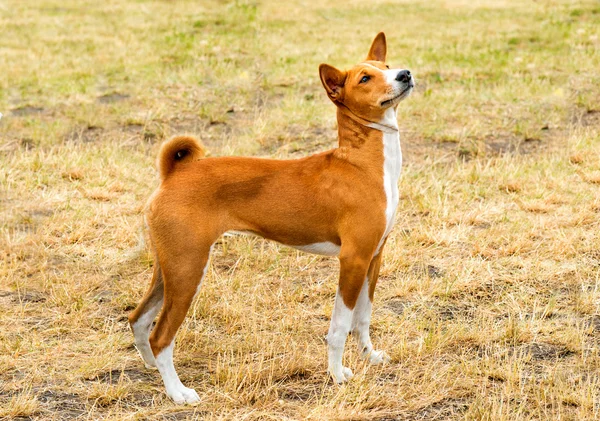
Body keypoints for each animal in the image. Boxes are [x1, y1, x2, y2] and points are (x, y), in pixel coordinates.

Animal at [129, 31, 412, 402]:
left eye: (387, 66)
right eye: (365, 78)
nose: (405, 74)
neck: (362, 165)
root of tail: (174, 173)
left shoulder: (373, 257)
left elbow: (362, 319)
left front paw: (370, 356)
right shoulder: (353, 260)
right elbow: (339, 327)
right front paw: (337, 375)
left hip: (170, 267)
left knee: (138, 319)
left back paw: (153, 369)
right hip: (189, 269)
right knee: (160, 335)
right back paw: (178, 392)